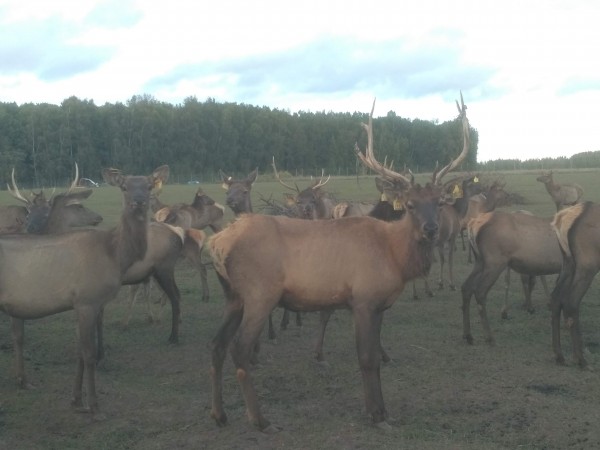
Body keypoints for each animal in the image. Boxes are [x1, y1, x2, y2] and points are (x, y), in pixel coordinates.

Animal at [0, 163, 169, 414]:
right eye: (124, 186)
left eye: (149, 185)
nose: (138, 201)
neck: (115, 256)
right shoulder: (87, 301)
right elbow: (88, 355)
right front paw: (94, 405)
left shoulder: (82, 304)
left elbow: (79, 351)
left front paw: (76, 399)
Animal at [209, 95, 472, 432]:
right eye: (410, 205)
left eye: (439, 203)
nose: (431, 229)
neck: (394, 257)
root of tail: (217, 242)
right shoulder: (362, 299)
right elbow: (366, 357)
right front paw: (374, 414)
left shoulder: (380, 304)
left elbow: (376, 355)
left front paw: (383, 410)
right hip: (259, 293)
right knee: (238, 349)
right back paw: (260, 419)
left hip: (233, 296)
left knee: (216, 345)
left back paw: (219, 414)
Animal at [460, 211, 564, 344]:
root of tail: (472, 224)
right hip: (494, 262)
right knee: (480, 291)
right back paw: (489, 336)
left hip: (479, 261)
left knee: (466, 287)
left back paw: (468, 335)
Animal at [552, 202, 600, 368]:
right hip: (587, 266)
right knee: (571, 302)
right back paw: (581, 359)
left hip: (568, 262)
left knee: (556, 297)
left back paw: (560, 355)